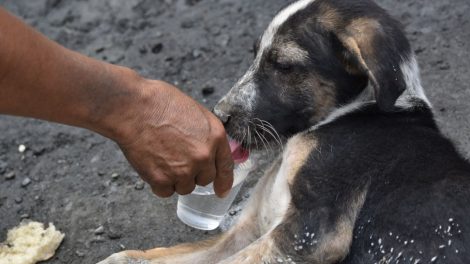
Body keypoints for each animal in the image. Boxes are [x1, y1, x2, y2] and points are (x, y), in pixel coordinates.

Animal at [100, 0, 470, 264]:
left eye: (284, 65)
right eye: (254, 55)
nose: (219, 116)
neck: (343, 115)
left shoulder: (311, 233)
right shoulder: (248, 230)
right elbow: (165, 255)